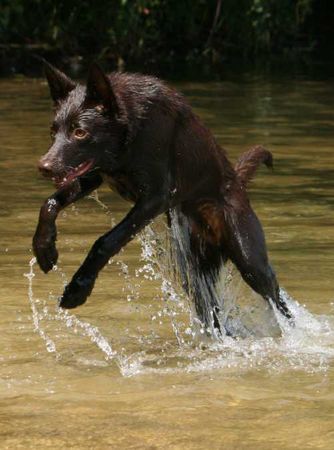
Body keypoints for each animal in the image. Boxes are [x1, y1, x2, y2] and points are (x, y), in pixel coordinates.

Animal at [32, 61, 290, 332]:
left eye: (80, 132)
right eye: (53, 131)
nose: (44, 166)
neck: (129, 133)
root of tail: (238, 182)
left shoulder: (156, 197)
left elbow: (106, 241)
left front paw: (78, 288)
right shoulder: (93, 175)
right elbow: (49, 204)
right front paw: (44, 248)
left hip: (249, 258)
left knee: (277, 298)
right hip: (195, 272)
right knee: (211, 311)